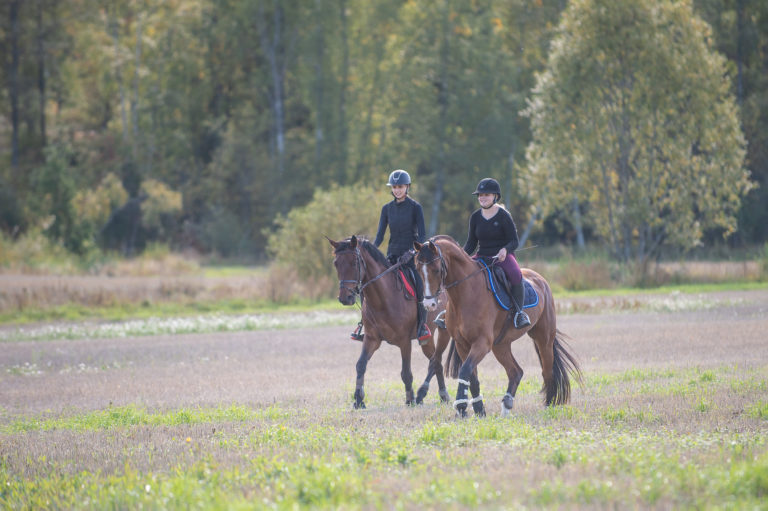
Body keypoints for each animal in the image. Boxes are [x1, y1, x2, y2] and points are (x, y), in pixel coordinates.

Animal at [328, 236, 452, 408]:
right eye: (336, 263)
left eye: (354, 262)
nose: (345, 298)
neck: (382, 300)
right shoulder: (372, 339)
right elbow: (360, 365)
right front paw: (358, 399)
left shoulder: (404, 341)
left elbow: (406, 373)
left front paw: (410, 399)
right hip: (426, 341)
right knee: (436, 360)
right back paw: (440, 395)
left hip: (440, 332)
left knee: (436, 360)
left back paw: (432, 394)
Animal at [414, 238, 584, 418]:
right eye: (418, 269)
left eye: (436, 269)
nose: (429, 304)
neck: (465, 293)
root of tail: (540, 279)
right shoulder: (462, 344)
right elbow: (472, 376)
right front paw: (479, 409)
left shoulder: (482, 343)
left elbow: (465, 370)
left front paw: (461, 406)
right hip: (500, 345)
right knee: (515, 372)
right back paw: (507, 405)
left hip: (543, 338)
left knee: (547, 371)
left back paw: (549, 405)